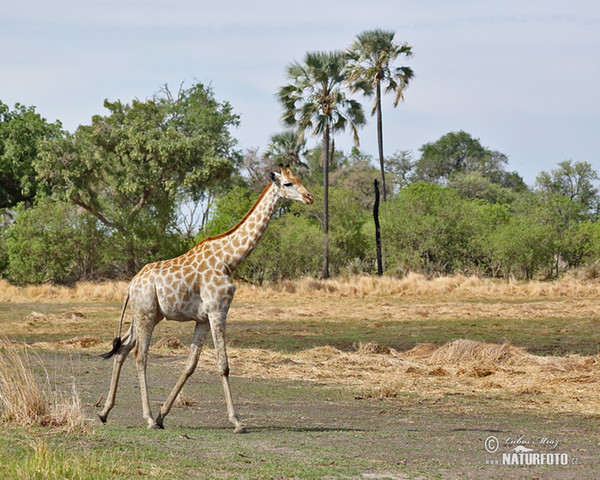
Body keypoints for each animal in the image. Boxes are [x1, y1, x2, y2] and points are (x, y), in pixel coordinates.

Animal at [97, 165, 314, 432]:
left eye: (298, 179)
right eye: (287, 184)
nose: (309, 197)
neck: (229, 259)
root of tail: (131, 284)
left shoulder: (202, 318)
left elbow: (191, 364)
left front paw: (162, 415)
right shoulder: (218, 310)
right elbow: (223, 365)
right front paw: (237, 422)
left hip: (145, 315)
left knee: (122, 349)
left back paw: (105, 412)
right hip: (145, 314)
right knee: (140, 356)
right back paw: (146, 418)